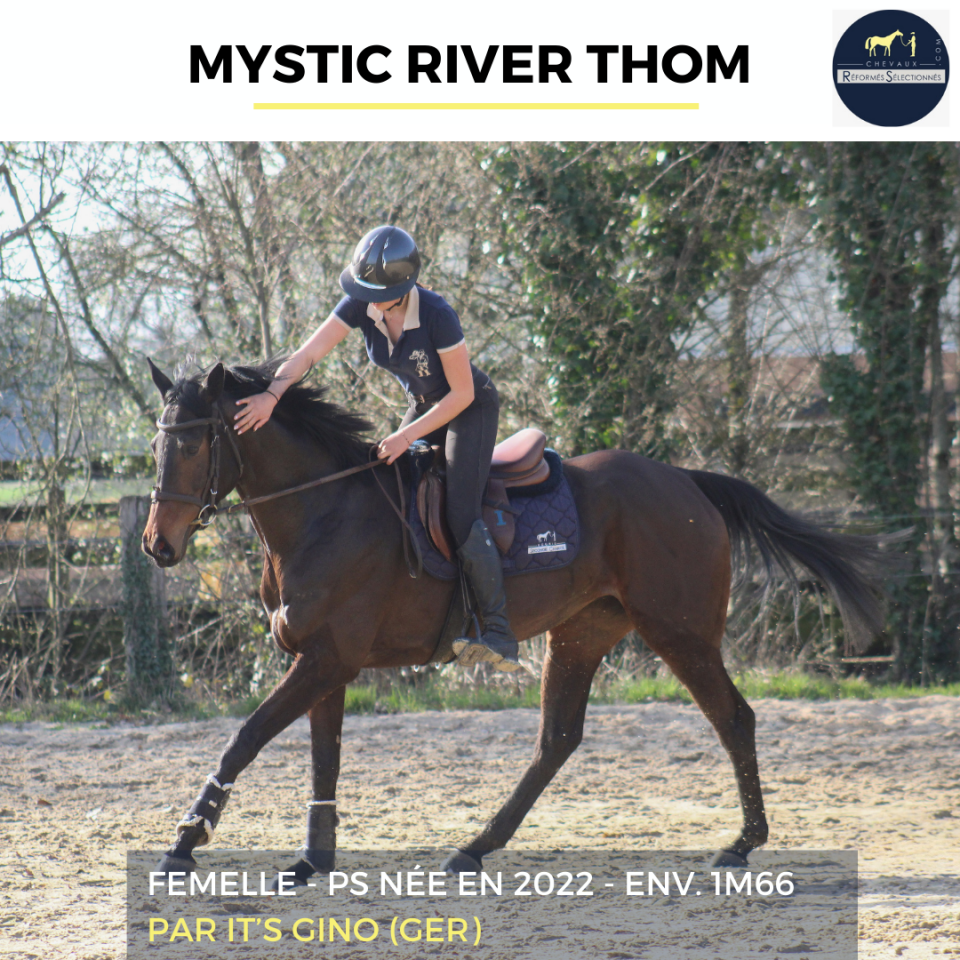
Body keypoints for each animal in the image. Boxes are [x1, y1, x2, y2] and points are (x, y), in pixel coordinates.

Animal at [143, 359, 889, 880]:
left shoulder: (327, 659)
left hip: (679, 631)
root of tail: (687, 480)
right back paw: (474, 848)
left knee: (734, 719)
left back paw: (740, 844)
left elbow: (245, 737)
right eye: (156, 448)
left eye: (193, 448)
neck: (323, 511)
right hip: (583, 632)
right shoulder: (325, 662)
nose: (158, 546)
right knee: (557, 739)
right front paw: (312, 859)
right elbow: (323, 759)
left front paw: (186, 839)